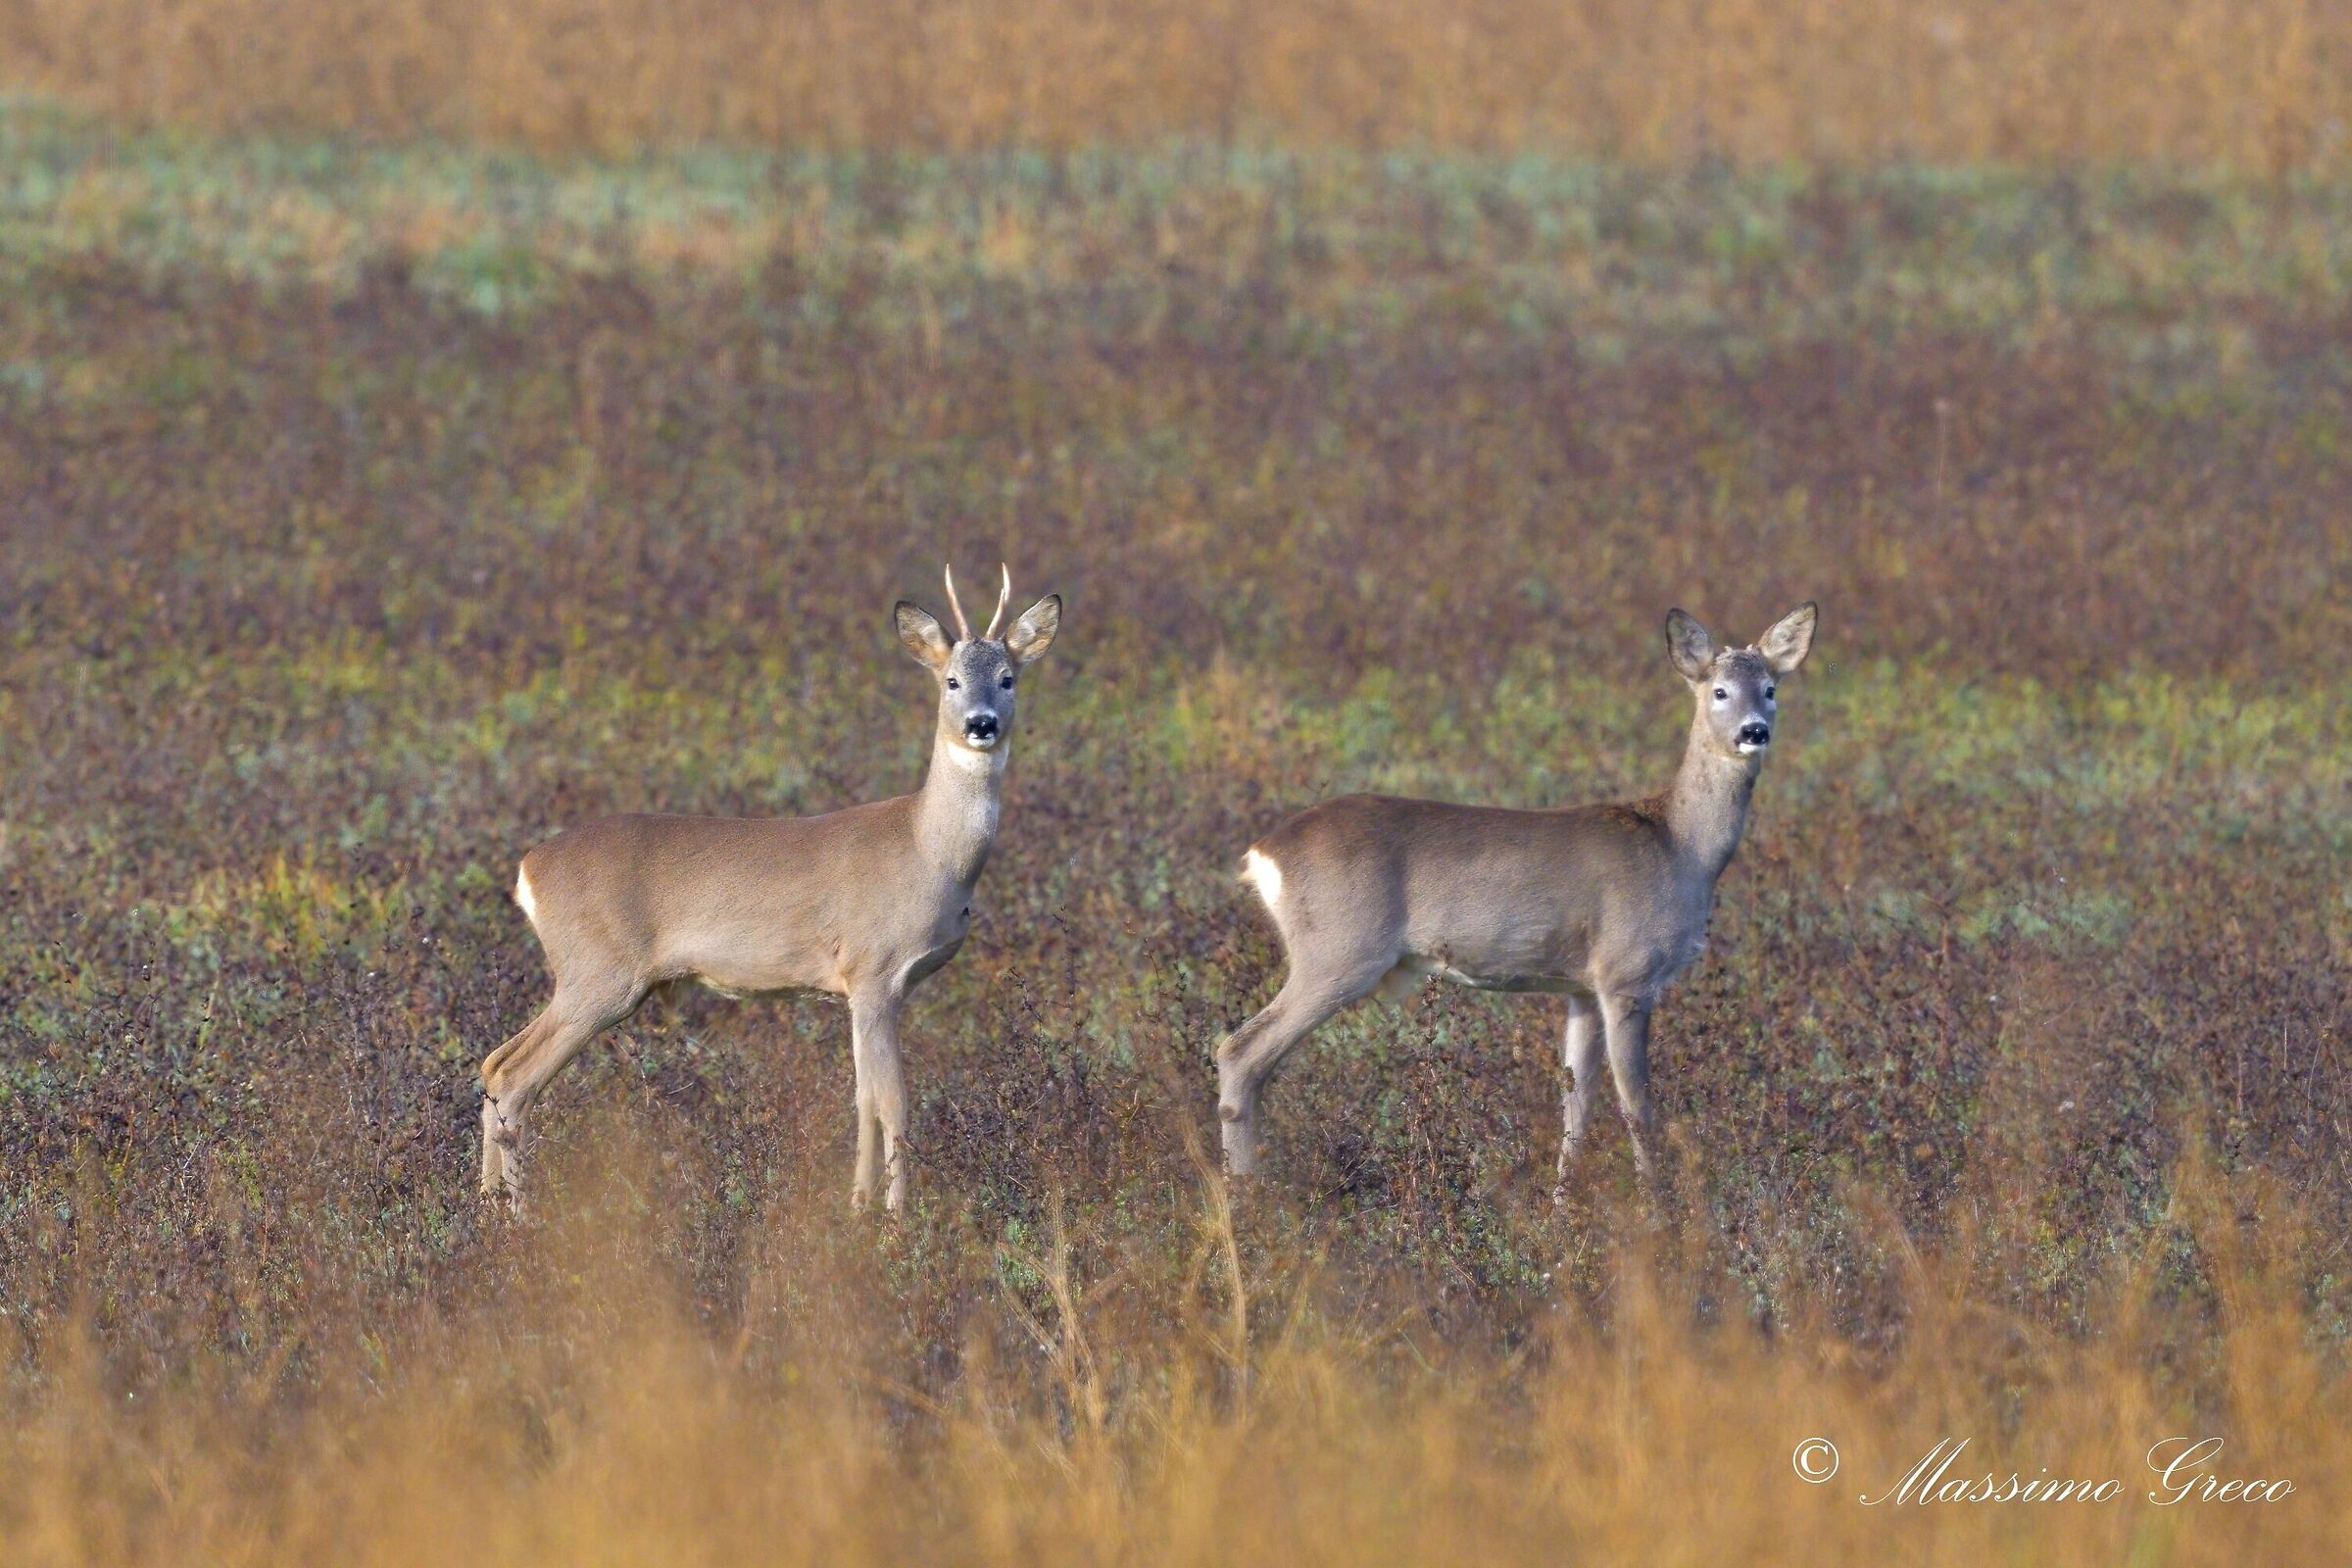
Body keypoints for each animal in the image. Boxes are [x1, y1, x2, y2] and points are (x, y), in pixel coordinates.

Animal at [478, 564, 1063, 1213]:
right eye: (952, 679)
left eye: (1008, 678)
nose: (981, 723)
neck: (929, 851)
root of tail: (529, 869)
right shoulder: (873, 970)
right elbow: (892, 1101)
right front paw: (892, 1217)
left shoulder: (868, 988)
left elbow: (863, 1097)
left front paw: (858, 1207)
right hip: (599, 974)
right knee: (514, 1077)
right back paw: (515, 1218)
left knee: (493, 1065)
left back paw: (485, 1211)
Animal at [1213, 602, 1817, 1186]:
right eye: (1719, 690)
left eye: (1770, 688)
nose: (1754, 731)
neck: (1680, 847)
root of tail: (1263, 852)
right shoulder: (1628, 974)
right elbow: (1637, 1106)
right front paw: (1661, 1208)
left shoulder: (1582, 987)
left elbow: (1576, 1106)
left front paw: (1561, 1205)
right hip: (1339, 951)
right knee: (1240, 1052)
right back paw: (1248, 1196)